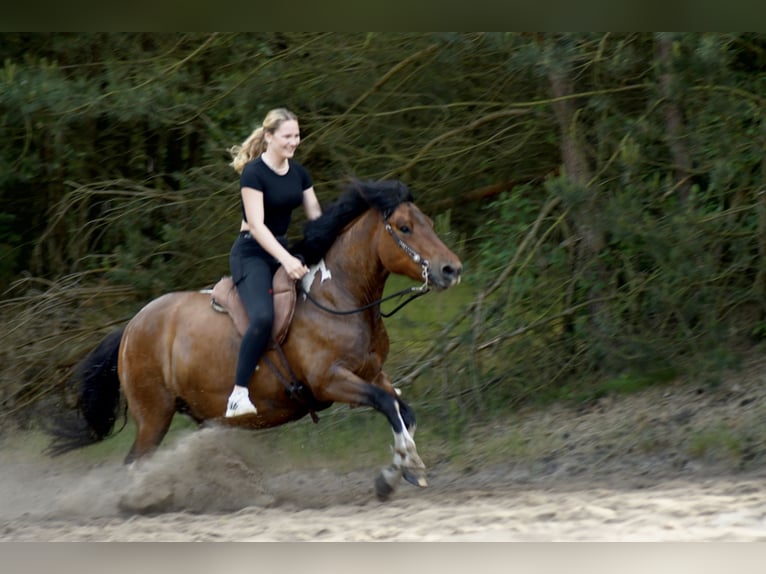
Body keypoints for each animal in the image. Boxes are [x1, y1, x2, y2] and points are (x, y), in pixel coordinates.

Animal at [52, 179, 468, 500]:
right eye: (404, 227)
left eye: (429, 222)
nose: (452, 269)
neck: (339, 297)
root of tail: (131, 327)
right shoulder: (331, 380)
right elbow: (388, 405)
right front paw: (406, 466)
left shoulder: (371, 373)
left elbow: (403, 410)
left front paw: (397, 474)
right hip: (153, 414)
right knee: (135, 462)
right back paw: (142, 501)